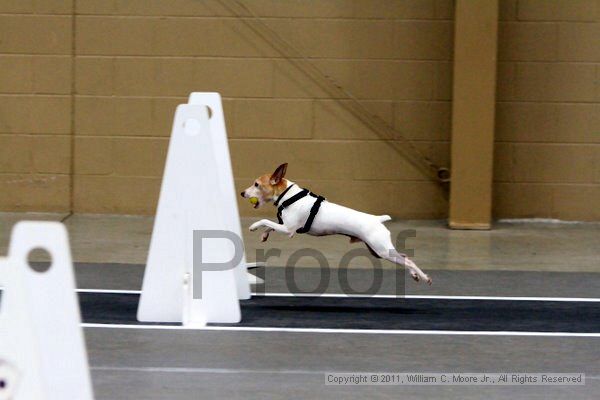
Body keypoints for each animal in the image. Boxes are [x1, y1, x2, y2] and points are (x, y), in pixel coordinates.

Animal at [239, 163, 432, 284]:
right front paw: (264, 234)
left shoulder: (288, 229)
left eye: (256, 184)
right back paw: (415, 275)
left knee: (408, 261)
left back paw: (424, 277)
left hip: (382, 250)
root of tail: (377, 219)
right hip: (378, 251)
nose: (242, 193)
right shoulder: (283, 225)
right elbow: (269, 225)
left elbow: (265, 221)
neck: (289, 196)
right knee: (405, 257)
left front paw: (254, 226)